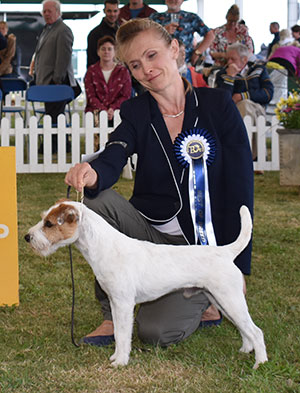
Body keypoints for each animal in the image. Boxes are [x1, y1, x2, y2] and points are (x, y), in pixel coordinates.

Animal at [24, 201, 268, 370]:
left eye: (49, 223)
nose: (27, 237)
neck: (104, 246)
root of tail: (226, 252)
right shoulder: (115, 302)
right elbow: (118, 332)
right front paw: (116, 357)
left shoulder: (124, 304)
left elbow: (123, 335)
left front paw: (120, 362)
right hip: (222, 301)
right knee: (244, 329)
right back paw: (245, 350)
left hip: (229, 299)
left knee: (256, 331)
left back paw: (260, 363)